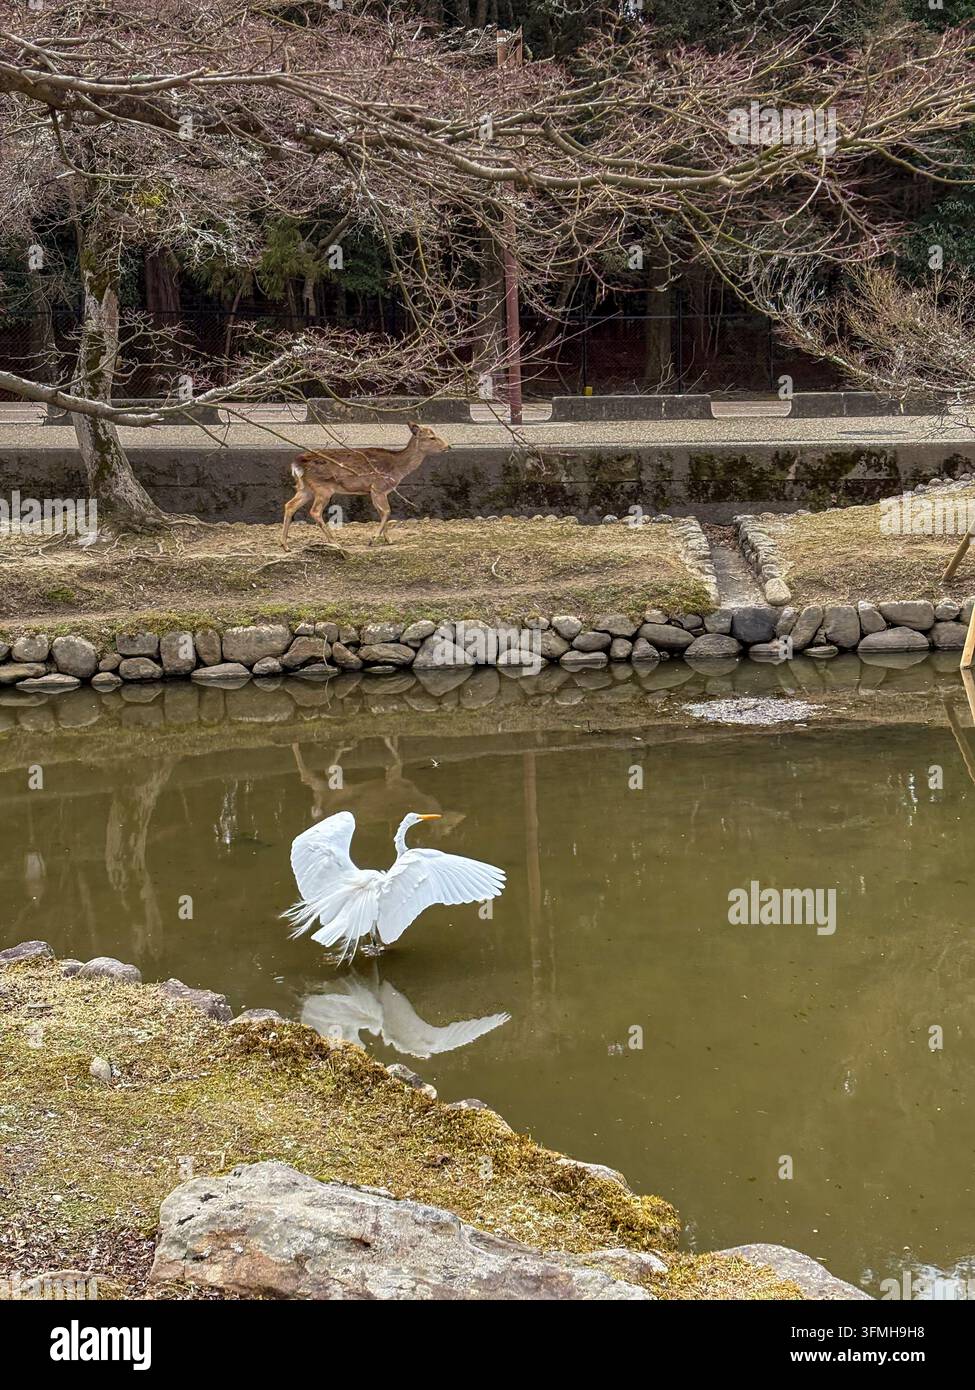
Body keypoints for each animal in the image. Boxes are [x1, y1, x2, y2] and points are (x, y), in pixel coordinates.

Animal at [281, 420, 449, 549]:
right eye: (432, 437)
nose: (448, 447)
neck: (398, 468)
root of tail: (297, 464)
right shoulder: (379, 487)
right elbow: (387, 511)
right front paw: (373, 538)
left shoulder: (374, 491)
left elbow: (382, 512)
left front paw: (388, 539)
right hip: (323, 487)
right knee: (315, 511)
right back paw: (334, 541)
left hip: (305, 488)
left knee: (289, 505)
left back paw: (285, 545)